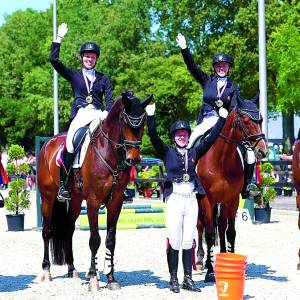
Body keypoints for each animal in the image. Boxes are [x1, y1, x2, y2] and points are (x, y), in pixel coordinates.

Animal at [38, 92, 152, 290]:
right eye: (125, 121)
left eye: (143, 122)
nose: (134, 159)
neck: (109, 152)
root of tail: (48, 143)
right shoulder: (93, 201)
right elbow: (94, 239)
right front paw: (93, 277)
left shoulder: (116, 202)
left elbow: (110, 240)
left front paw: (111, 278)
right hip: (48, 197)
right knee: (47, 231)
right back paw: (46, 271)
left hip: (76, 200)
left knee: (68, 229)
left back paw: (72, 269)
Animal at [196, 96, 268, 282]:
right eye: (246, 120)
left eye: (261, 120)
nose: (262, 151)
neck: (221, 160)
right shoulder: (207, 200)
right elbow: (209, 234)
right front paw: (210, 271)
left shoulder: (232, 199)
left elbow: (230, 233)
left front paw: (231, 261)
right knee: (200, 226)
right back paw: (200, 260)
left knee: (221, 227)